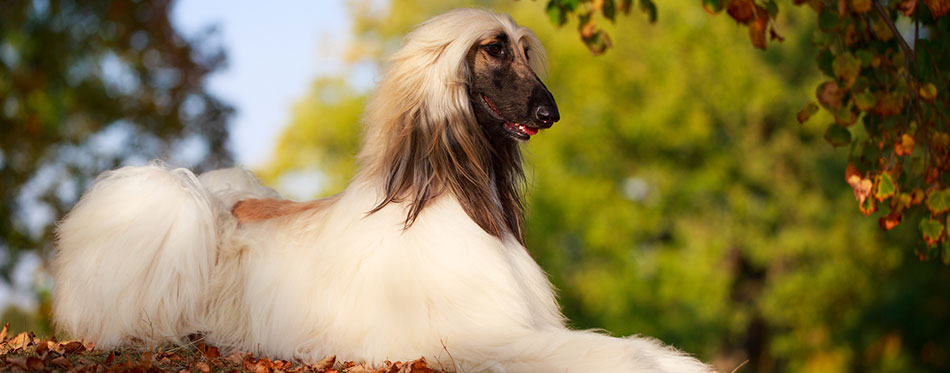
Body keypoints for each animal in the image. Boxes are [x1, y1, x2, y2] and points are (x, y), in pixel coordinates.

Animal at [50, 8, 708, 372]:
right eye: (493, 50)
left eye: (525, 51)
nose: (551, 113)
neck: (450, 196)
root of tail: (214, 201)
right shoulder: (479, 337)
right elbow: (612, 354)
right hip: (164, 223)